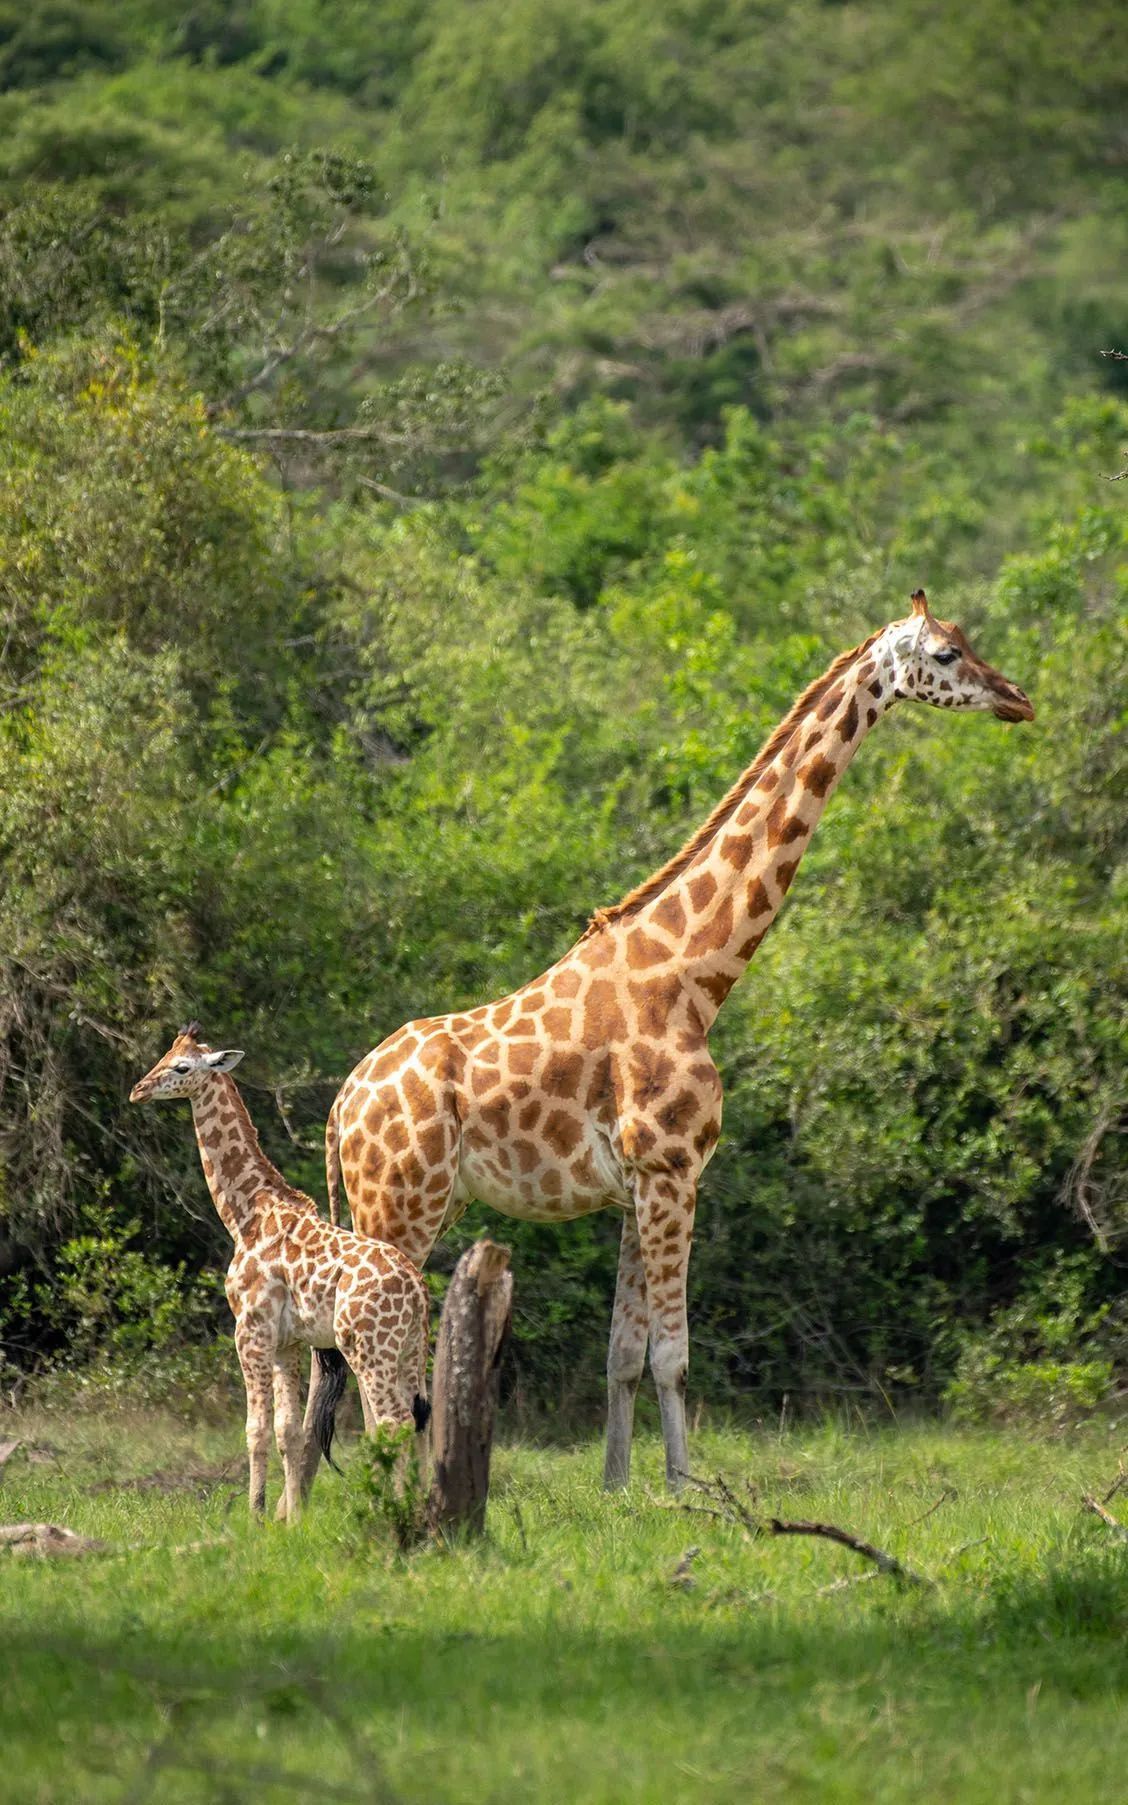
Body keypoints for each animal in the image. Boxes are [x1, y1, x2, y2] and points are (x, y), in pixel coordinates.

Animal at [129, 1025, 429, 1520]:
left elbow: (255, 1429)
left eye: (182, 1067)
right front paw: (291, 1522)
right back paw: (420, 1507)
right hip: (407, 1350)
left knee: (393, 1421)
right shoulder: (288, 1341)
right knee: (416, 1419)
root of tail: (419, 1292)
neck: (246, 1214)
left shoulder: (250, 1330)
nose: (139, 1089)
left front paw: (255, 1515)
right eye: (164, 1056)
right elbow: (289, 1430)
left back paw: (396, 1510)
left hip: (367, 1346)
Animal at [323, 591, 1033, 1493]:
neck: (695, 974)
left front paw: (618, 1486)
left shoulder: (634, 1187)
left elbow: (623, 1354)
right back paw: (401, 1495)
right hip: (398, 1207)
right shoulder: (674, 1171)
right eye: (946, 654)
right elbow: (674, 1354)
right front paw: (683, 1491)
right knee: (374, 1365)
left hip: (405, 1205)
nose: (1018, 697)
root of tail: (340, 1107)